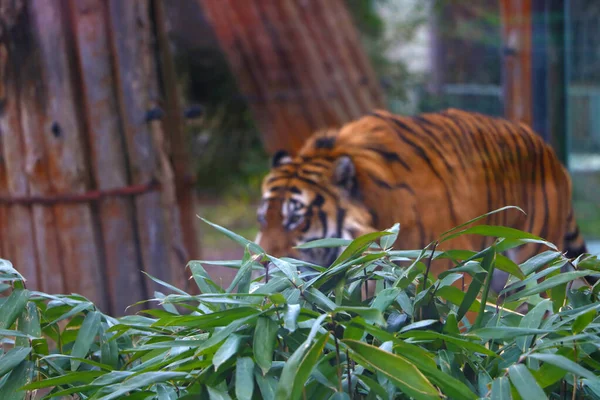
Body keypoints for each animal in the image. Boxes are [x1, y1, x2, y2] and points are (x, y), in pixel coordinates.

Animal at [254, 108, 596, 296]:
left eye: (296, 219)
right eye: (262, 218)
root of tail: (551, 154)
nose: (260, 266)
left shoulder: (449, 277)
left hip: (535, 269)